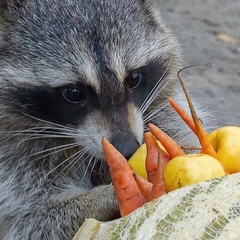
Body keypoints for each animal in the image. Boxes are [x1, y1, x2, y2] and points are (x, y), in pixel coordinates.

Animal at [0, 0, 208, 239]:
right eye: (73, 93)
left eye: (133, 79)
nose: (127, 149)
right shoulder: (13, 156)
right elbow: (31, 221)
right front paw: (107, 195)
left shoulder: (159, 108)